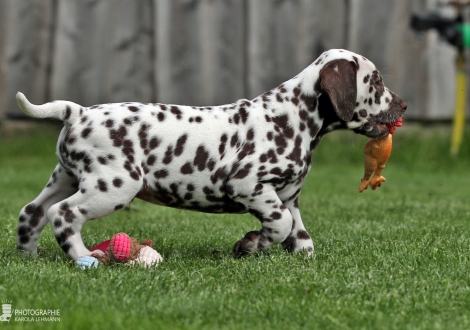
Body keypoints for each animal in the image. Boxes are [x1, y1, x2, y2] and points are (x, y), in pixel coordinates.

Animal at [14, 49, 404, 260]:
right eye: (377, 81)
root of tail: (78, 112)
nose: (403, 104)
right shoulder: (250, 186)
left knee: (32, 212)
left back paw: (30, 258)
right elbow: (279, 225)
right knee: (62, 215)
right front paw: (251, 244)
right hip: (113, 186)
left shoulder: (288, 196)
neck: (293, 117)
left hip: (66, 178)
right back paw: (84, 258)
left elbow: (300, 236)